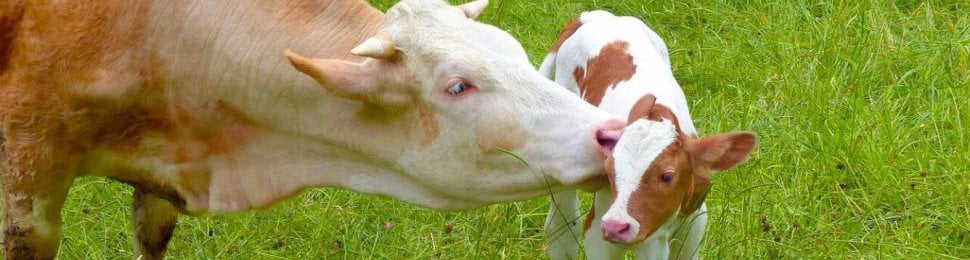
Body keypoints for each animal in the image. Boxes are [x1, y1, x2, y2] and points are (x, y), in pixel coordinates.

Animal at [536, 10, 756, 260]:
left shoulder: (694, 222)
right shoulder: (600, 227)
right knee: (562, 224)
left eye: (667, 176)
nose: (616, 226)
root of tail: (594, 15)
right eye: (609, 170)